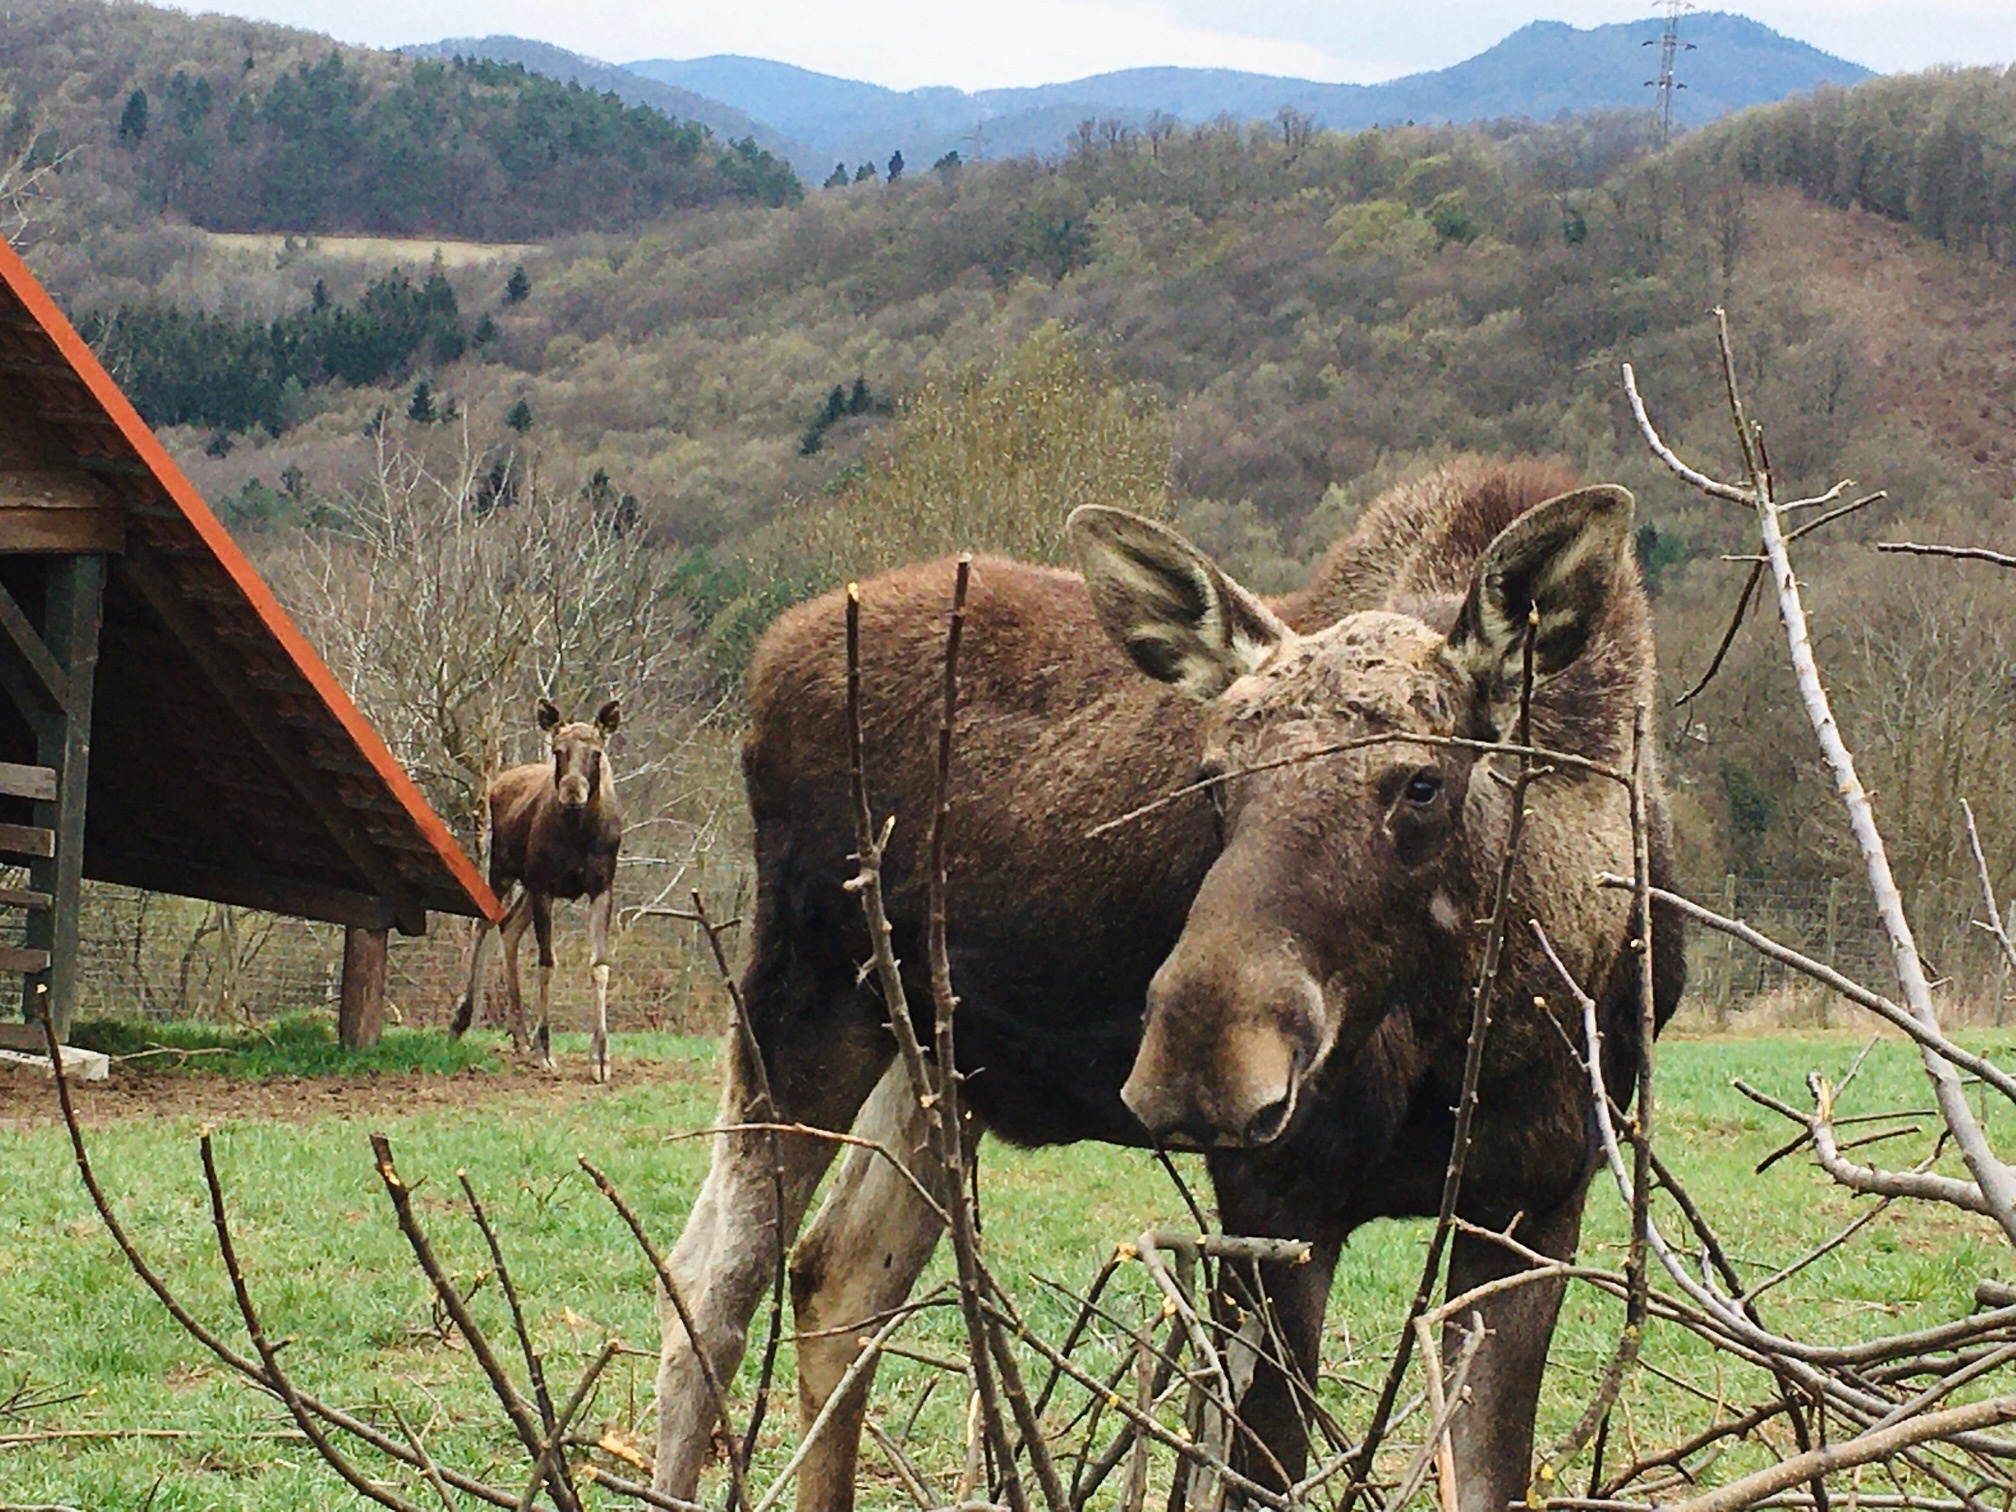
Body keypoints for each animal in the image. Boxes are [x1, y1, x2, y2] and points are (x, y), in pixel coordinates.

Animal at [451, 705, 620, 1080]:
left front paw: (600, 1058)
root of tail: (498, 783)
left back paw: (519, 1035)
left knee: (509, 926)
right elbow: (546, 962)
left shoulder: (601, 887)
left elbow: (599, 965)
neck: (580, 834)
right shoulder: (545, 886)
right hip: (502, 869)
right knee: (485, 924)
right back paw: (462, 1019)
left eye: (596, 752)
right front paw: (545, 1048)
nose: (572, 792)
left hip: (526, 884)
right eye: (558, 751)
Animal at [653, 461, 1677, 1512]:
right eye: (1212, 776)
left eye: (1421, 783)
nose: (1202, 1063)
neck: (1501, 1021)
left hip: (934, 1050)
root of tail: (771, 660)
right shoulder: (1281, 1200)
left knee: (840, 1277)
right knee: (710, 1279)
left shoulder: (1535, 1208)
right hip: (804, 993)